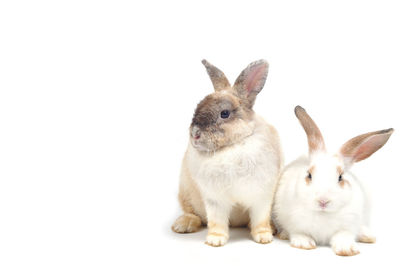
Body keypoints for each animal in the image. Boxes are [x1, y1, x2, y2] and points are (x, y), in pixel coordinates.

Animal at [171, 59, 282, 246]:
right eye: (197, 108)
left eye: (224, 113)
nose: (195, 134)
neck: (233, 146)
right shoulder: (214, 200)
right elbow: (217, 221)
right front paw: (215, 240)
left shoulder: (261, 196)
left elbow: (260, 219)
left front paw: (264, 237)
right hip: (185, 194)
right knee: (192, 213)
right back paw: (183, 225)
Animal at [272, 105, 394, 256]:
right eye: (309, 175)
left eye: (340, 177)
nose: (323, 201)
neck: (323, 214)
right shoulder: (293, 223)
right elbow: (299, 234)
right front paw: (304, 244)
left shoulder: (348, 225)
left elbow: (343, 236)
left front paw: (347, 249)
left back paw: (368, 236)